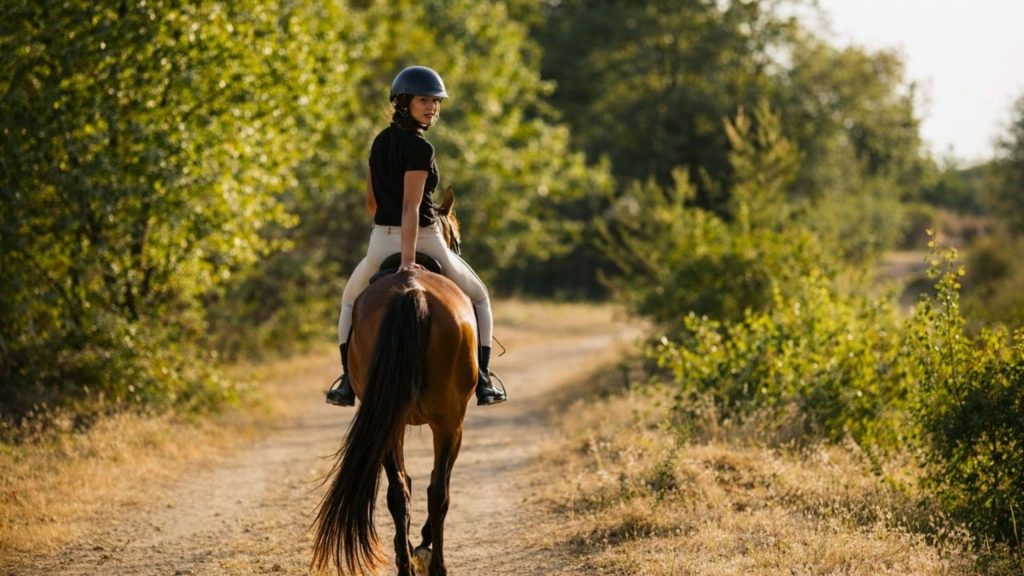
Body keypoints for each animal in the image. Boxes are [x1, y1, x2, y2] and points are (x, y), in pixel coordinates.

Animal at [311, 186, 475, 576]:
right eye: (457, 238)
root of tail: (412, 290)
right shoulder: (454, 423)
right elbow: (437, 484)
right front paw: (423, 544)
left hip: (391, 417)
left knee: (399, 492)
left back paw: (406, 564)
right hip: (448, 420)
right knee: (437, 491)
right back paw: (435, 564)